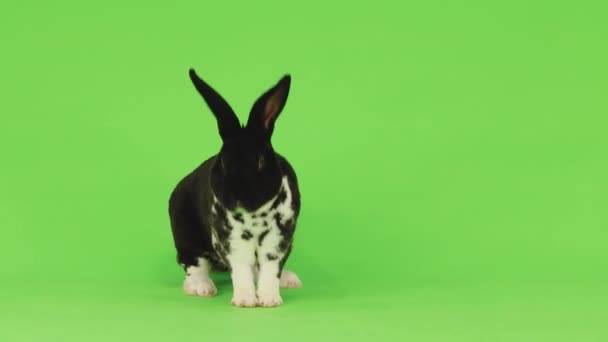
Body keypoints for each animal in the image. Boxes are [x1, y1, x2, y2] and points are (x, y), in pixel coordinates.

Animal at [169, 68, 302, 308]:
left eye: (260, 161)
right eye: (223, 161)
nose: (236, 196)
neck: (255, 214)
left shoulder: (278, 239)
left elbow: (270, 270)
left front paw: (269, 299)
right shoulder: (231, 239)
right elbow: (241, 269)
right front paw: (245, 300)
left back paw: (290, 280)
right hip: (187, 241)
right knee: (193, 266)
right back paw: (202, 288)